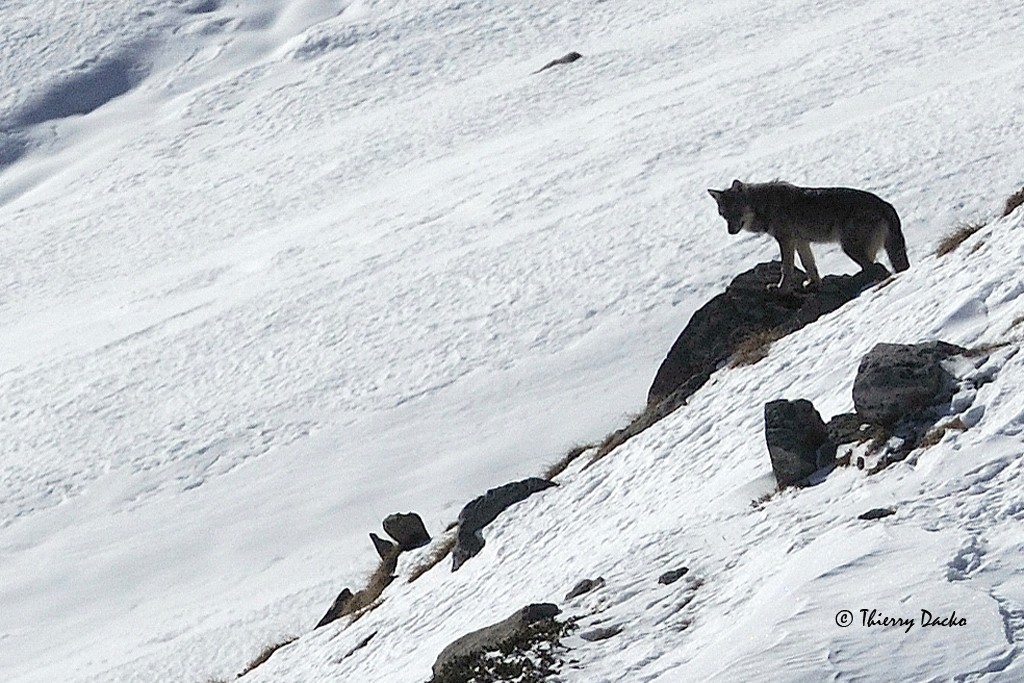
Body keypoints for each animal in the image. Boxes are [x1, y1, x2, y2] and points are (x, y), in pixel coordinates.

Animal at [708, 179, 909, 294]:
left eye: (736, 211)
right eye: (723, 214)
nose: (730, 231)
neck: (764, 205)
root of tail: (886, 204)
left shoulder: (785, 240)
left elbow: (786, 268)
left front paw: (781, 289)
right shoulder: (800, 241)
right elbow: (809, 265)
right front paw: (814, 284)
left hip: (849, 248)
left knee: (880, 269)